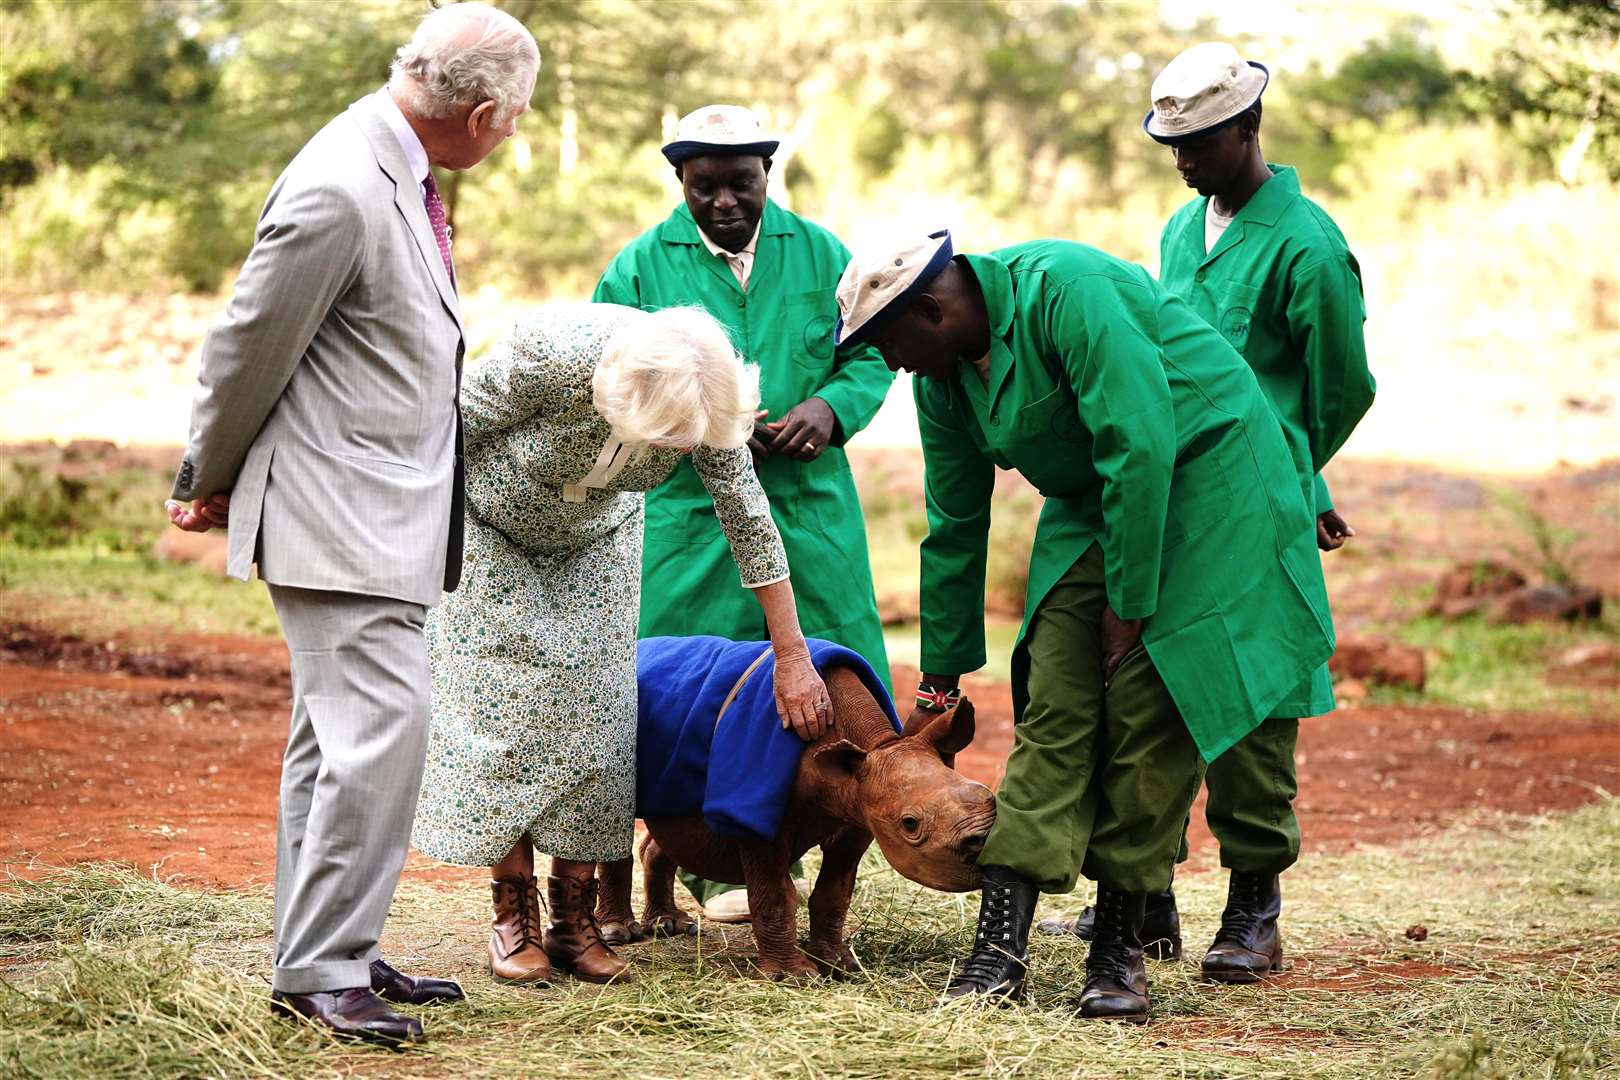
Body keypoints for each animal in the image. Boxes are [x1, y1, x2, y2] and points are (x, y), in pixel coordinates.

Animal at [599, 647, 984, 984]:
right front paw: (793, 976)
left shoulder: (857, 815)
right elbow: (775, 895)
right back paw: (619, 932)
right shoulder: (756, 817)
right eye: (910, 824)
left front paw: (837, 965)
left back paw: (668, 926)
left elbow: (834, 892)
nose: (982, 845)